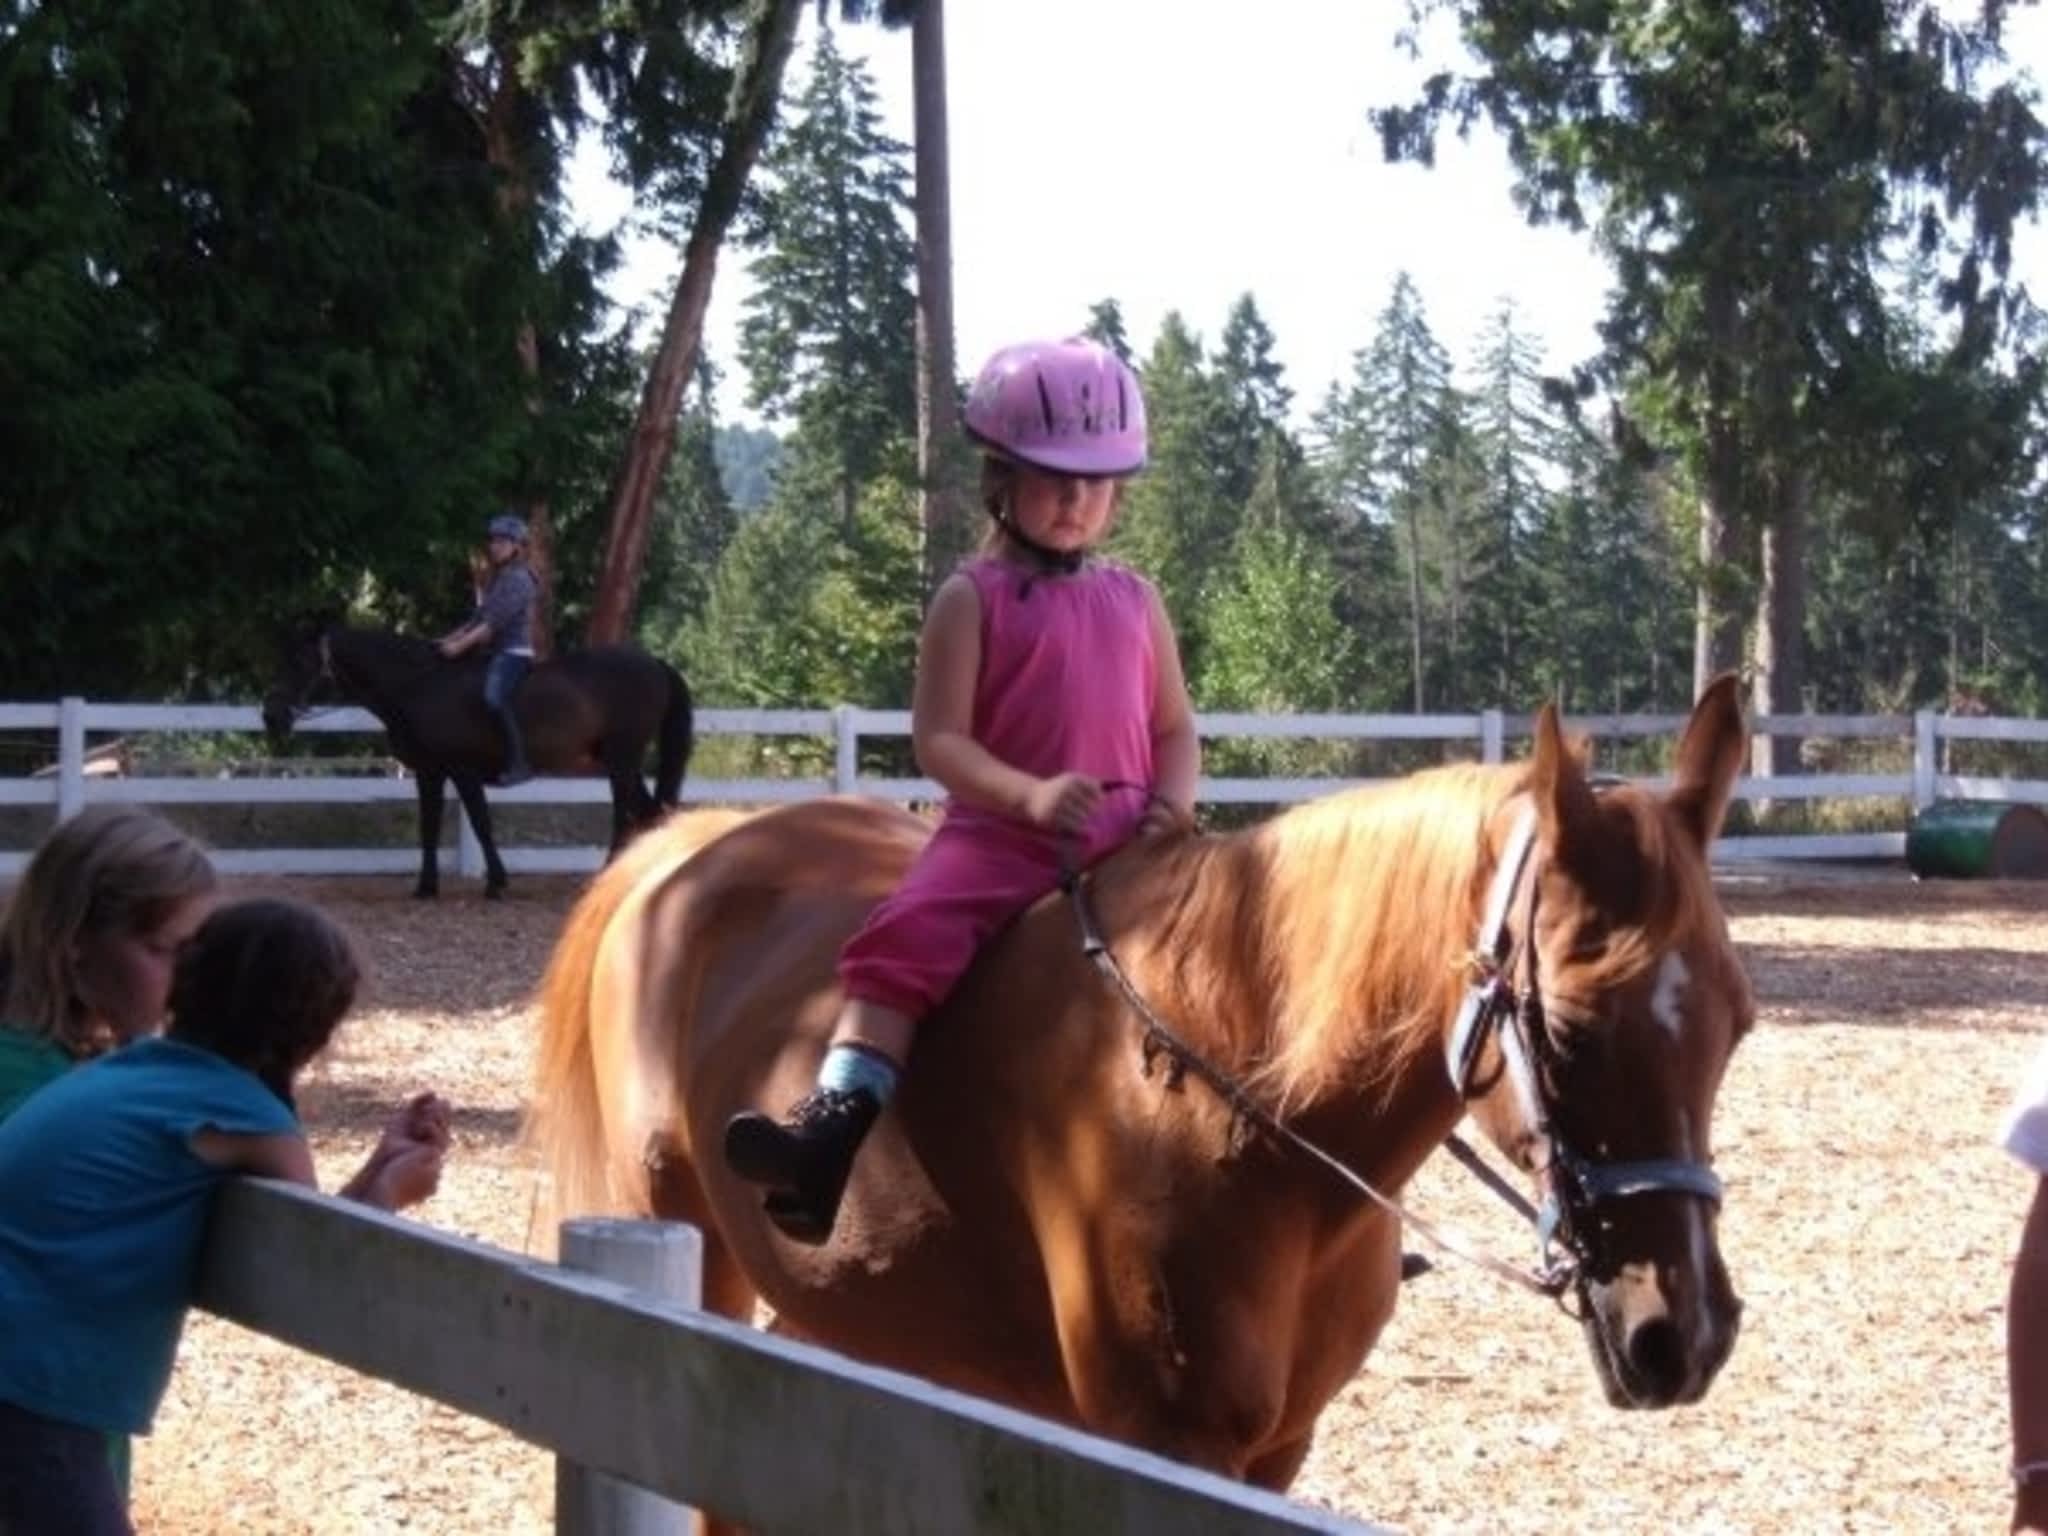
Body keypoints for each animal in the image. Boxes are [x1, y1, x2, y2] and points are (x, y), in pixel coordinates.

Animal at [262, 618, 696, 897]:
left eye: (301, 662)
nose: (270, 716)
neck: (419, 684)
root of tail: (654, 663)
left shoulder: (461, 770)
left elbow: (481, 823)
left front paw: (496, 883)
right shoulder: (429, 772)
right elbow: (429, 826)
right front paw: (426, 886)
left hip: (622, 757)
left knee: (625, 813)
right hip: (620, 759)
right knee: (649, 810)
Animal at [536, 675, 1753, 1531]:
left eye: (1735, 1027)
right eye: (1571, 1031)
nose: (1682, 1334)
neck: (1257, 1124)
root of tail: (692, 848)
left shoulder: (1275, 1449)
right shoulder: (1165, 1439)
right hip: (683, 1245)